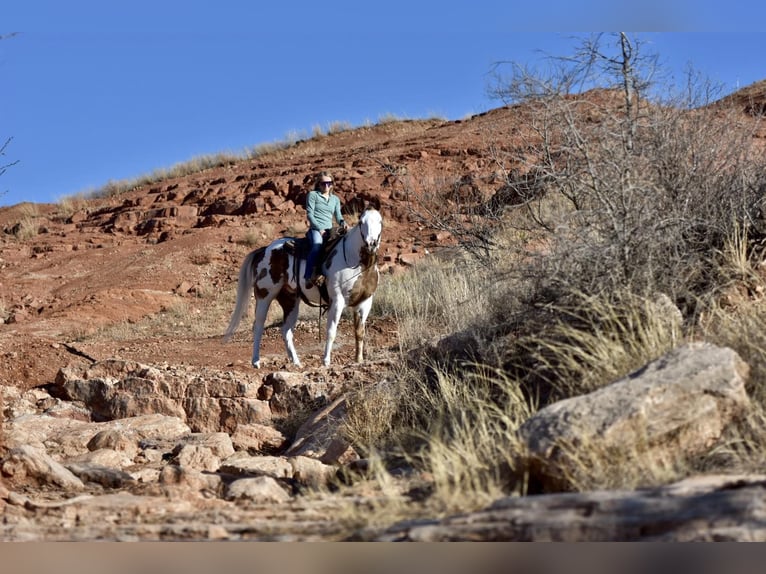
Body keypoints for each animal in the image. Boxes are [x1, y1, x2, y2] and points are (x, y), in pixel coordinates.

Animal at [226, 207, 384, 368]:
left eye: (380, 222)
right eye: (361, 222)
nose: (371, 243)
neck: (356, 261)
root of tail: (264, 250)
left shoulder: (364, 302)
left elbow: (359, 332)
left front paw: (359, 360)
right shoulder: (337, 300)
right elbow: (331, 331)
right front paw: (326, 361)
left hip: (290, 301)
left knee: (286, 330)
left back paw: (296, 362)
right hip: (265, 295)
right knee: (258, 326)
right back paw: (256, 361)